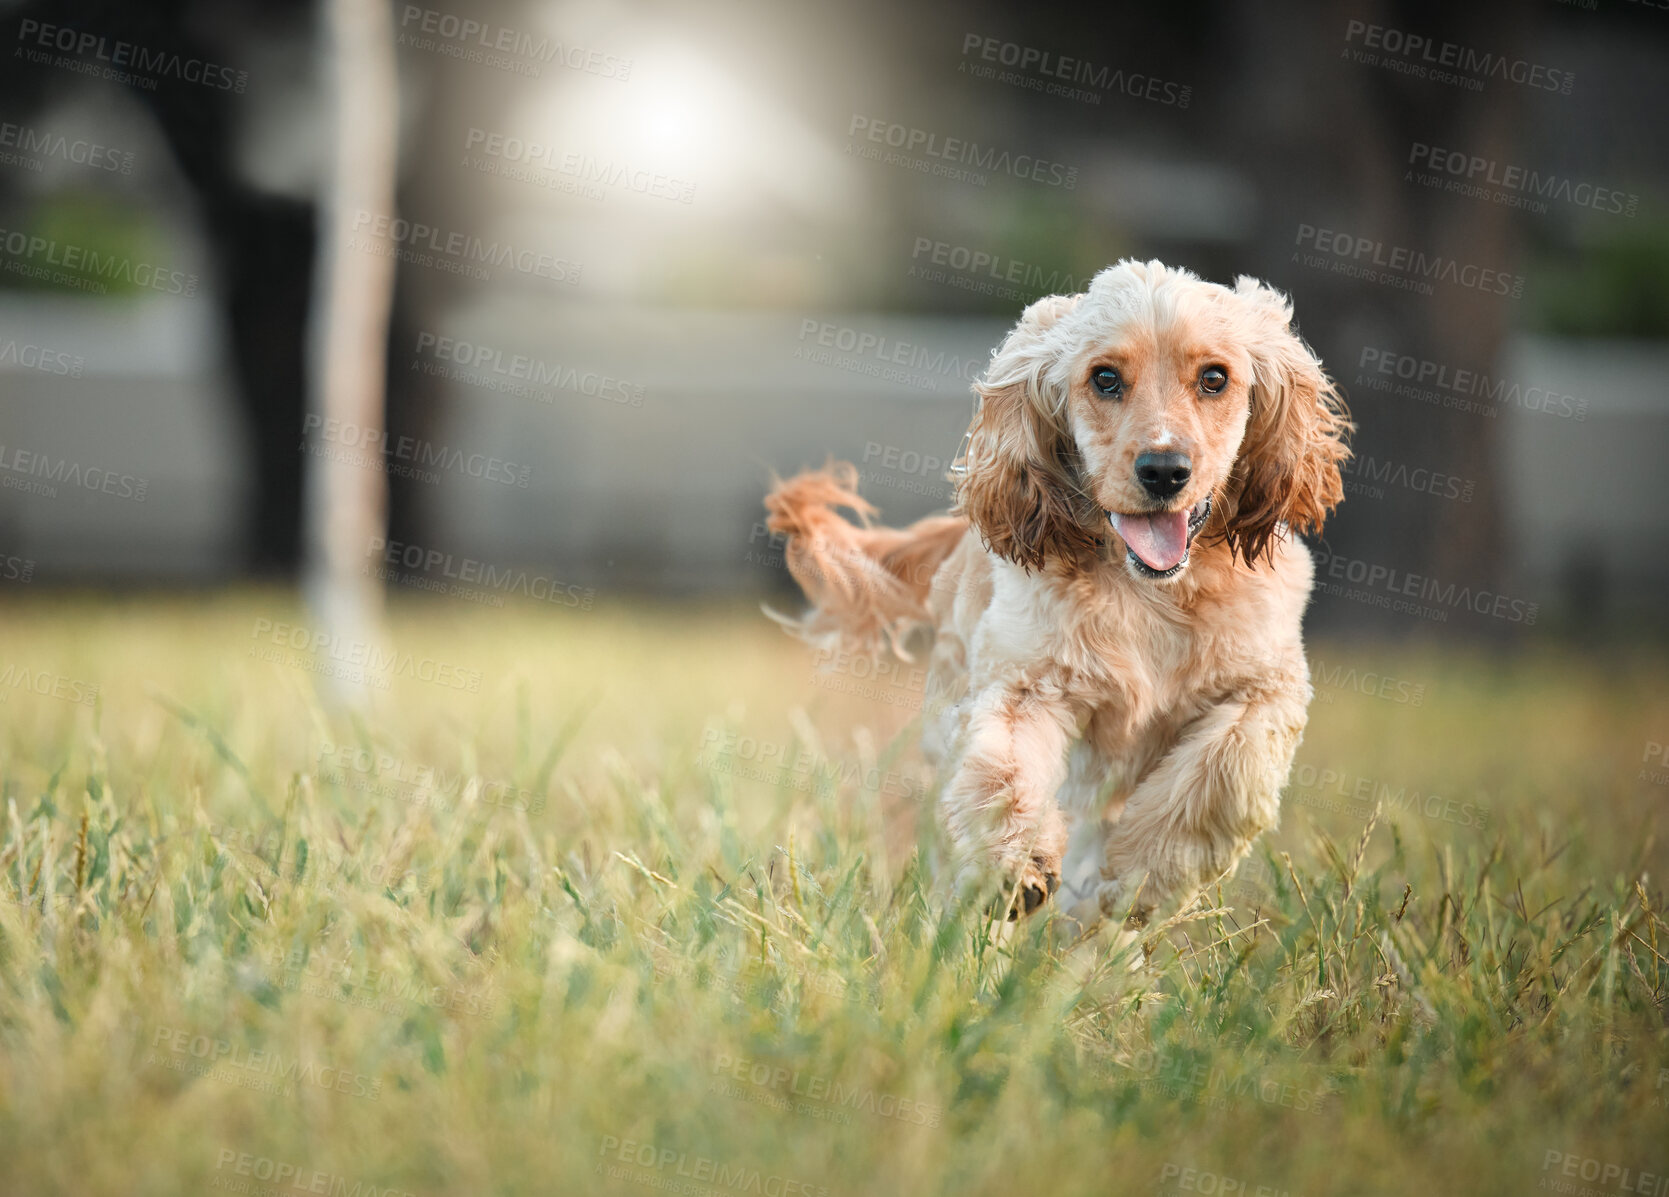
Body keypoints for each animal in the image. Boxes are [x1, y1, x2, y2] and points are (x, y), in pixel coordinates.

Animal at [767, 257, 1355, 921]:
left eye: (1214, 378)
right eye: (1104, 379)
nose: (1164, 471)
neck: (1152, 592)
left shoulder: (1266, 689)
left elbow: (1221, 776)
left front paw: (1143, 878)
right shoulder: (1026, 685)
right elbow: (1003, 774)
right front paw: (1015, 867)